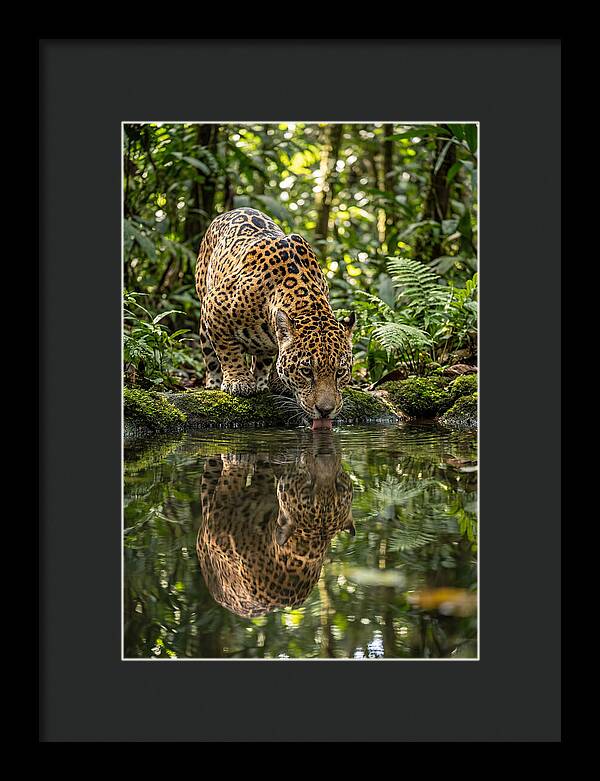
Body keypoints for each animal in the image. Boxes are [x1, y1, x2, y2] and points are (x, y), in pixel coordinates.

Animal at [195, 208, 356, 430]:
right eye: (306, 371)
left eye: (340, 372)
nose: (325, 411)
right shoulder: (214, 306)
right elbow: (228, 350)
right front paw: (239, 381)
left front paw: (277, 383)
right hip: (204, 312)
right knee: (210, 356)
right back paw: (214, 383)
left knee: (262, 358)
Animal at [196, 438, 355, 618]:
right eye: (308, 487)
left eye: (339, 485)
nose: (326, 455)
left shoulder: (216, 524)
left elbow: (231, 480)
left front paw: (237, 458)